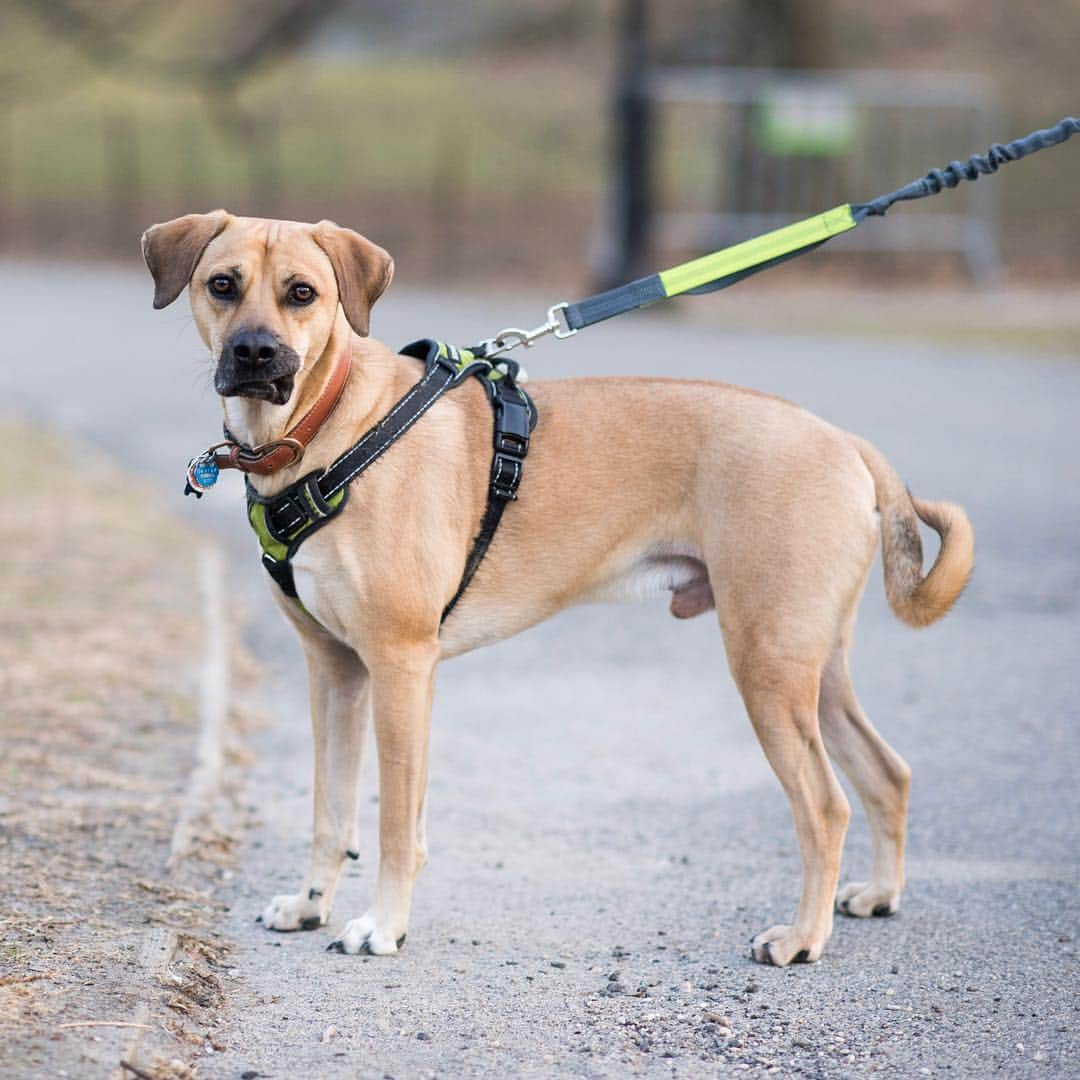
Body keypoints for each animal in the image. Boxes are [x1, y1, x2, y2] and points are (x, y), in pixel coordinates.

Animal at [139, 212, 976, 972]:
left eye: (302, 293)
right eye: (223, 285)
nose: (255, 352)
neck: (328, 428)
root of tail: (842, 440)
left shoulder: (402, 667)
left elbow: (393, 823)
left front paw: (382, 926)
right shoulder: (335, 670)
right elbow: (330, 809)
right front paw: (312, 905)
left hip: (768, 664)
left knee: (826, 805)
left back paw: (802, 938)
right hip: (812, 666)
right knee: (887, 773)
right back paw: (879, 893)